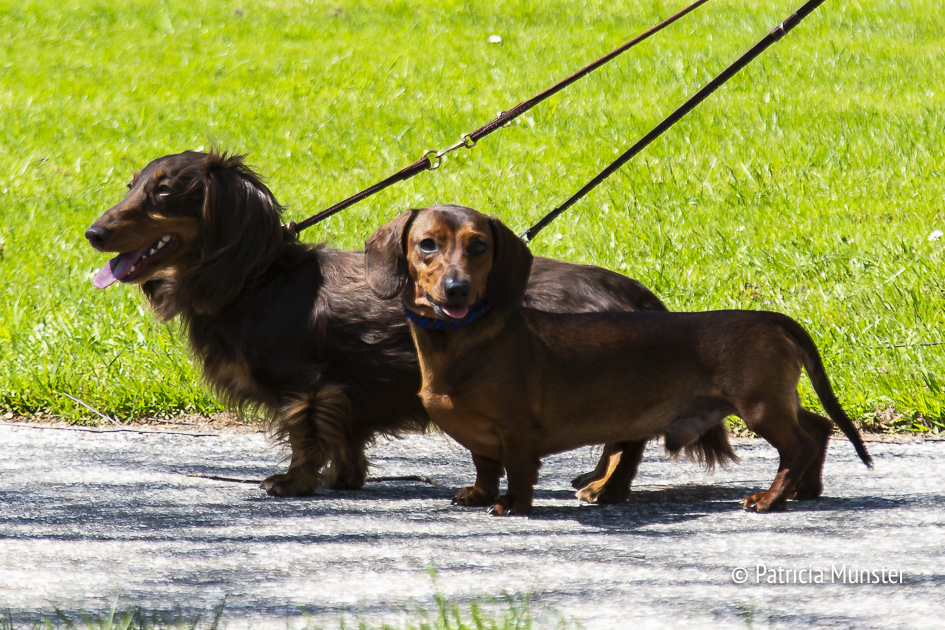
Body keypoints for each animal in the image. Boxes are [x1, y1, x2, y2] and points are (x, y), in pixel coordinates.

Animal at [85, 151, 730, 498]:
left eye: (163, 193)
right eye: (131, 186)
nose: (92, 232)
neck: (256, 278)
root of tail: (634, 292)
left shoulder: (305, 384)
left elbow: (303, 435)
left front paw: (293, 483)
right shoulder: (341, 391)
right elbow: (344, 438)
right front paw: (345, 478)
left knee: (630, 438)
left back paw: (605, 487)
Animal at [364, 204, 873, 516]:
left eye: (479, 246)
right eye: (427, 244)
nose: (458, 290)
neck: (463, 341)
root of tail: (770, 318)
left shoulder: (517, 430)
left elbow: (519, 470)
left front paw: (512, 505)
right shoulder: (480, 436)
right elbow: (485, 465)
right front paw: (478, 494)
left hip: (759, 405)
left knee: (799, 444)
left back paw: (769, 498)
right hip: (775, 400)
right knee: (818, 428)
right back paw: (805, 489)